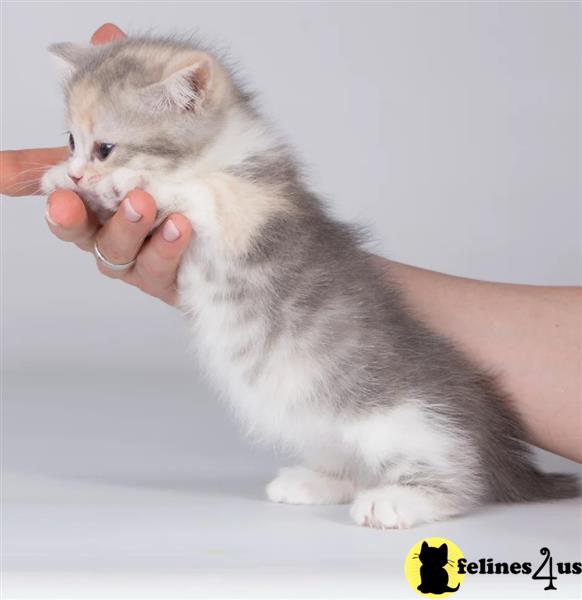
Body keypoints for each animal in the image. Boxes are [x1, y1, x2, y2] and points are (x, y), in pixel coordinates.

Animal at [40, 35, 580, 528]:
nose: (80, 173)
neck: (217, 153)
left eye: (106, 148)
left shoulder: (251, 207)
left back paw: (400, 501)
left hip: (405, 421)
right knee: (350, 463)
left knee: (457, 477)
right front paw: (57, 178)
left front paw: (128, 183)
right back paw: (313, 483)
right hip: (315, 417)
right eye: (70, 141)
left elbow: (201, 190)